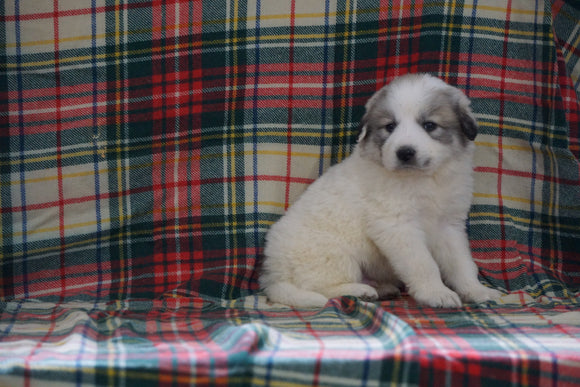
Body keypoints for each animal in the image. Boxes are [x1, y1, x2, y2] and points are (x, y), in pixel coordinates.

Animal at [260, 73, 500, 310]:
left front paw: (477, 290)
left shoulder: (449, 225)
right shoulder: (397, 225)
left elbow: (462, 263)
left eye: (429, 125)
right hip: (333, 253)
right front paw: (436, 293)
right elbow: (423, 264)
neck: (423, 180)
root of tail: (275, 275)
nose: (405, 152)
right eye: (390, 127)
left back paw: (382, 288)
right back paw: (360, 291)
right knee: (321, 288)